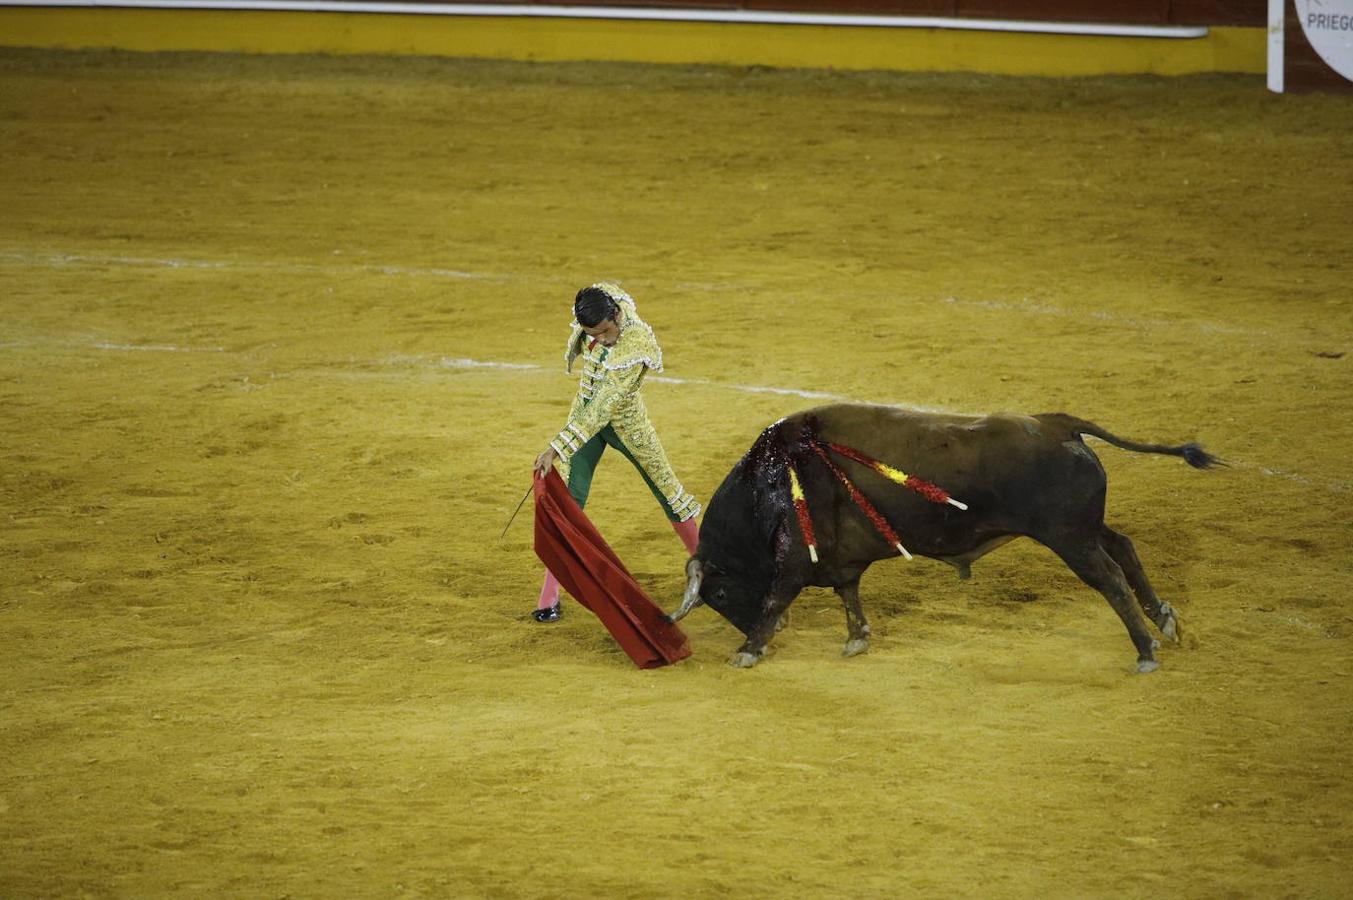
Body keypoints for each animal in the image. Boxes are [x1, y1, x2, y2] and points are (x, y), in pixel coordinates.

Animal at [671, 403, 1223, 671]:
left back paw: (1145, 651)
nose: (773, 639)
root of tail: (1057, 425)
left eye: (720, 594)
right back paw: (1166, 622)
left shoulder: (793, 564)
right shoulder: (839, 561)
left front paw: (748, 650)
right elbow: (849, 593)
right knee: (1124, 548)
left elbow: (777, 596)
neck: (768, 483)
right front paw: (856, 640)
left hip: (1068, 536)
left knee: (1108, 577)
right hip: (1085, 528)